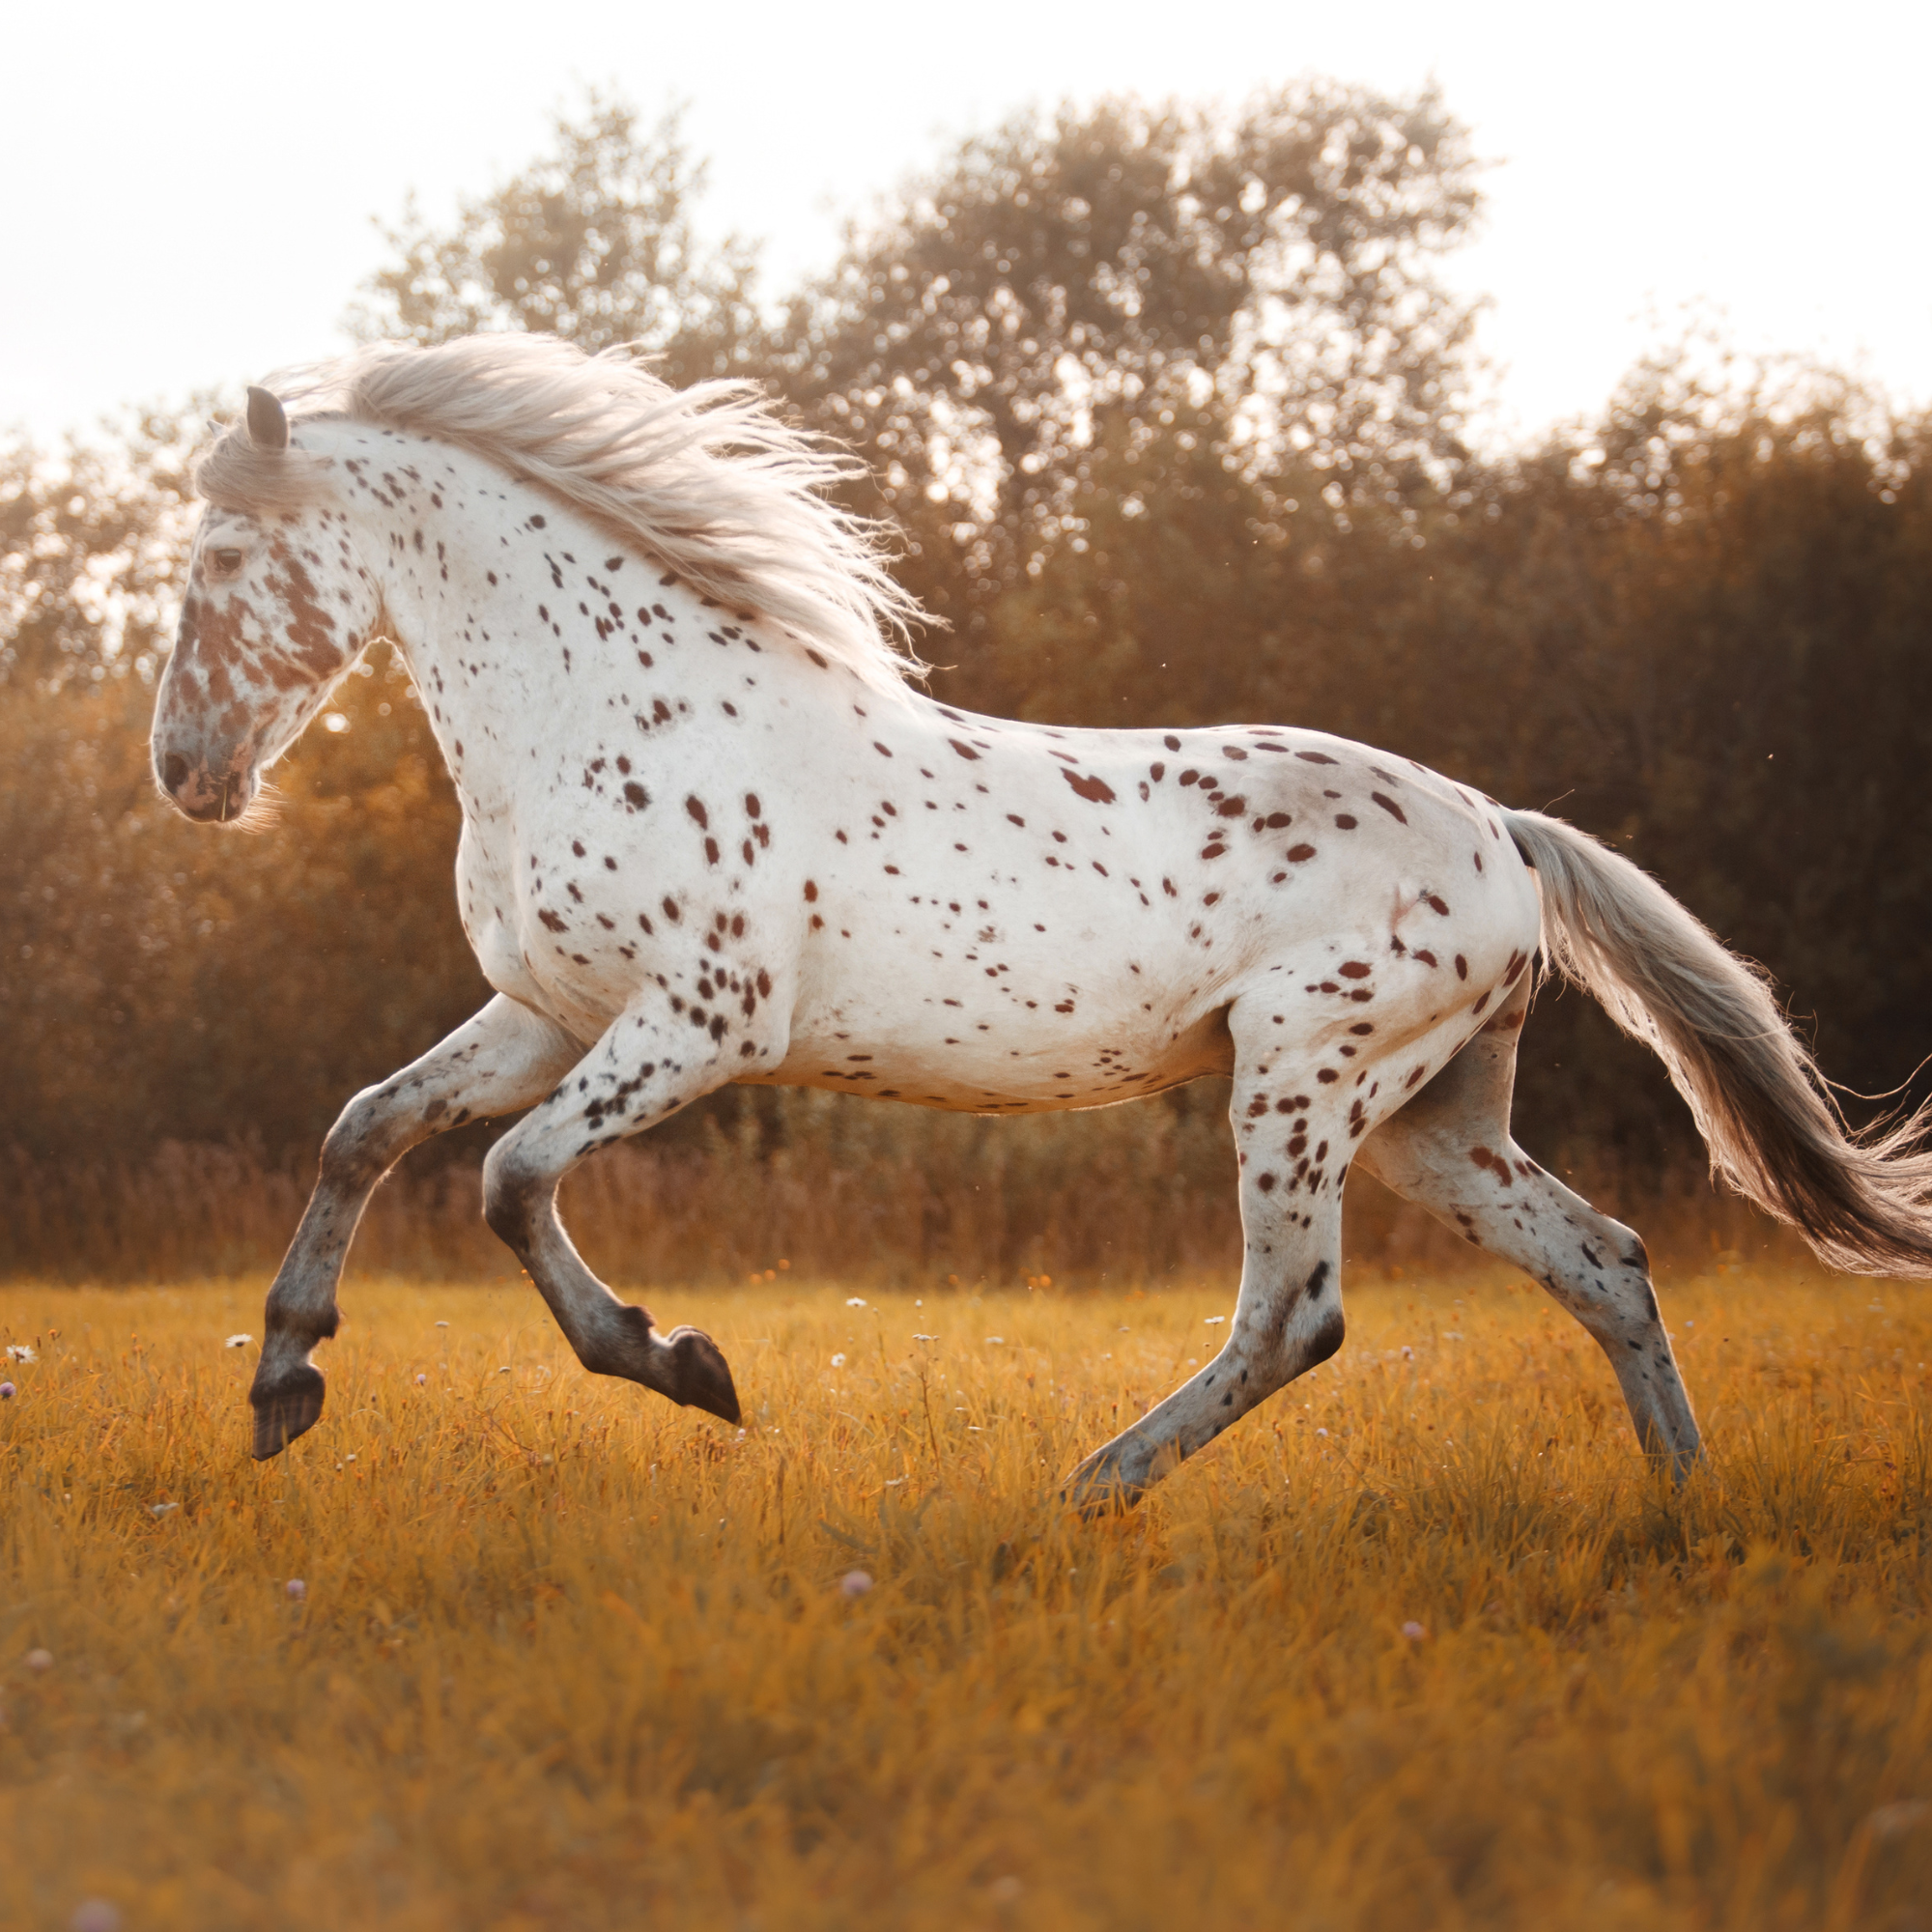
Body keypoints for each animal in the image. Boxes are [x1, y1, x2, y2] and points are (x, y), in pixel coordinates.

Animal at [150, 334, 1932, 1502]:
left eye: (224, 556)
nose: (185, 772)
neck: (606, 705)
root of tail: (1505, 831)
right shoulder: (550, 1015)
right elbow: (367, 1130)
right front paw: (282, 1384)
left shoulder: (699, 1024)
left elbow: (510, 1185)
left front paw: (689, 1368)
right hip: (1435, 1122)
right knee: (1607, 1264)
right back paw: (1681, 1510)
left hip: (1303, 1086)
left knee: (1296, 1317)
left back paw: (1088, 1490)